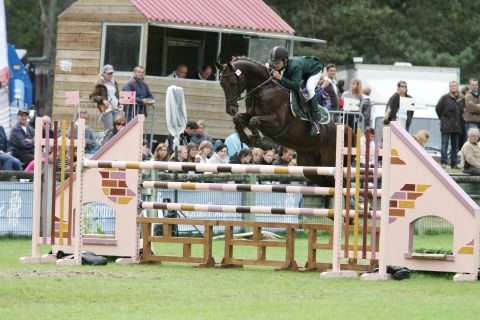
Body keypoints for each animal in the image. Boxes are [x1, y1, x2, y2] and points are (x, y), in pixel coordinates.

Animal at [215, 56, 344, 209]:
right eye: (221, 84)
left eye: (233, 83)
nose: (231, 109)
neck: (264, 89)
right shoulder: (251, 115)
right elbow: (239, 119)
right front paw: (247, 139)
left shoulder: (277, 123)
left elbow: (253, 121)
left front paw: (261, 142)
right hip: (311, 166)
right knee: (327, 186)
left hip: (328, 162)